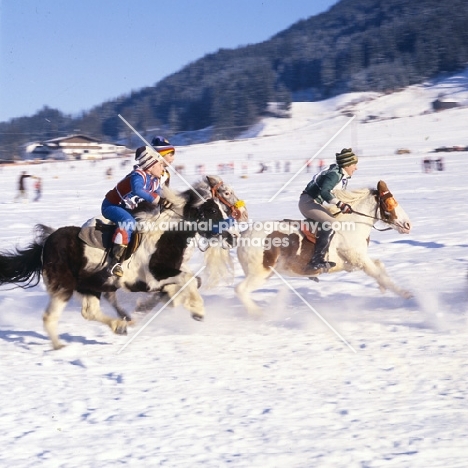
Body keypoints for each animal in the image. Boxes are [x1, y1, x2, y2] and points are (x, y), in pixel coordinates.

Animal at [0, 176, 241, 348]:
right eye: (212, 209)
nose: (233, 235)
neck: (166, 235)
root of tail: (46, 243)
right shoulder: (153, 278)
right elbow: (189, 280)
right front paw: (197, 310)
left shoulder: (165, 276)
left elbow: (191, 282)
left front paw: (182, 304)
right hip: (64, 287)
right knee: (50, 316)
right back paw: (60, 346)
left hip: (91, 286)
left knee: (89, 312)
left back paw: (120, 326)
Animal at [236, 181, 412, 312]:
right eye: (390, 203)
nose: (408, 224)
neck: (352, 224)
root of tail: (243, 235)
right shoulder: (359, 260)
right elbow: (380, 274)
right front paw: (406, 294)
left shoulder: (352, 264)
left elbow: (379, 267)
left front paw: (382, 288)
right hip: (259, 274)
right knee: (240, 290)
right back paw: (259, 314)